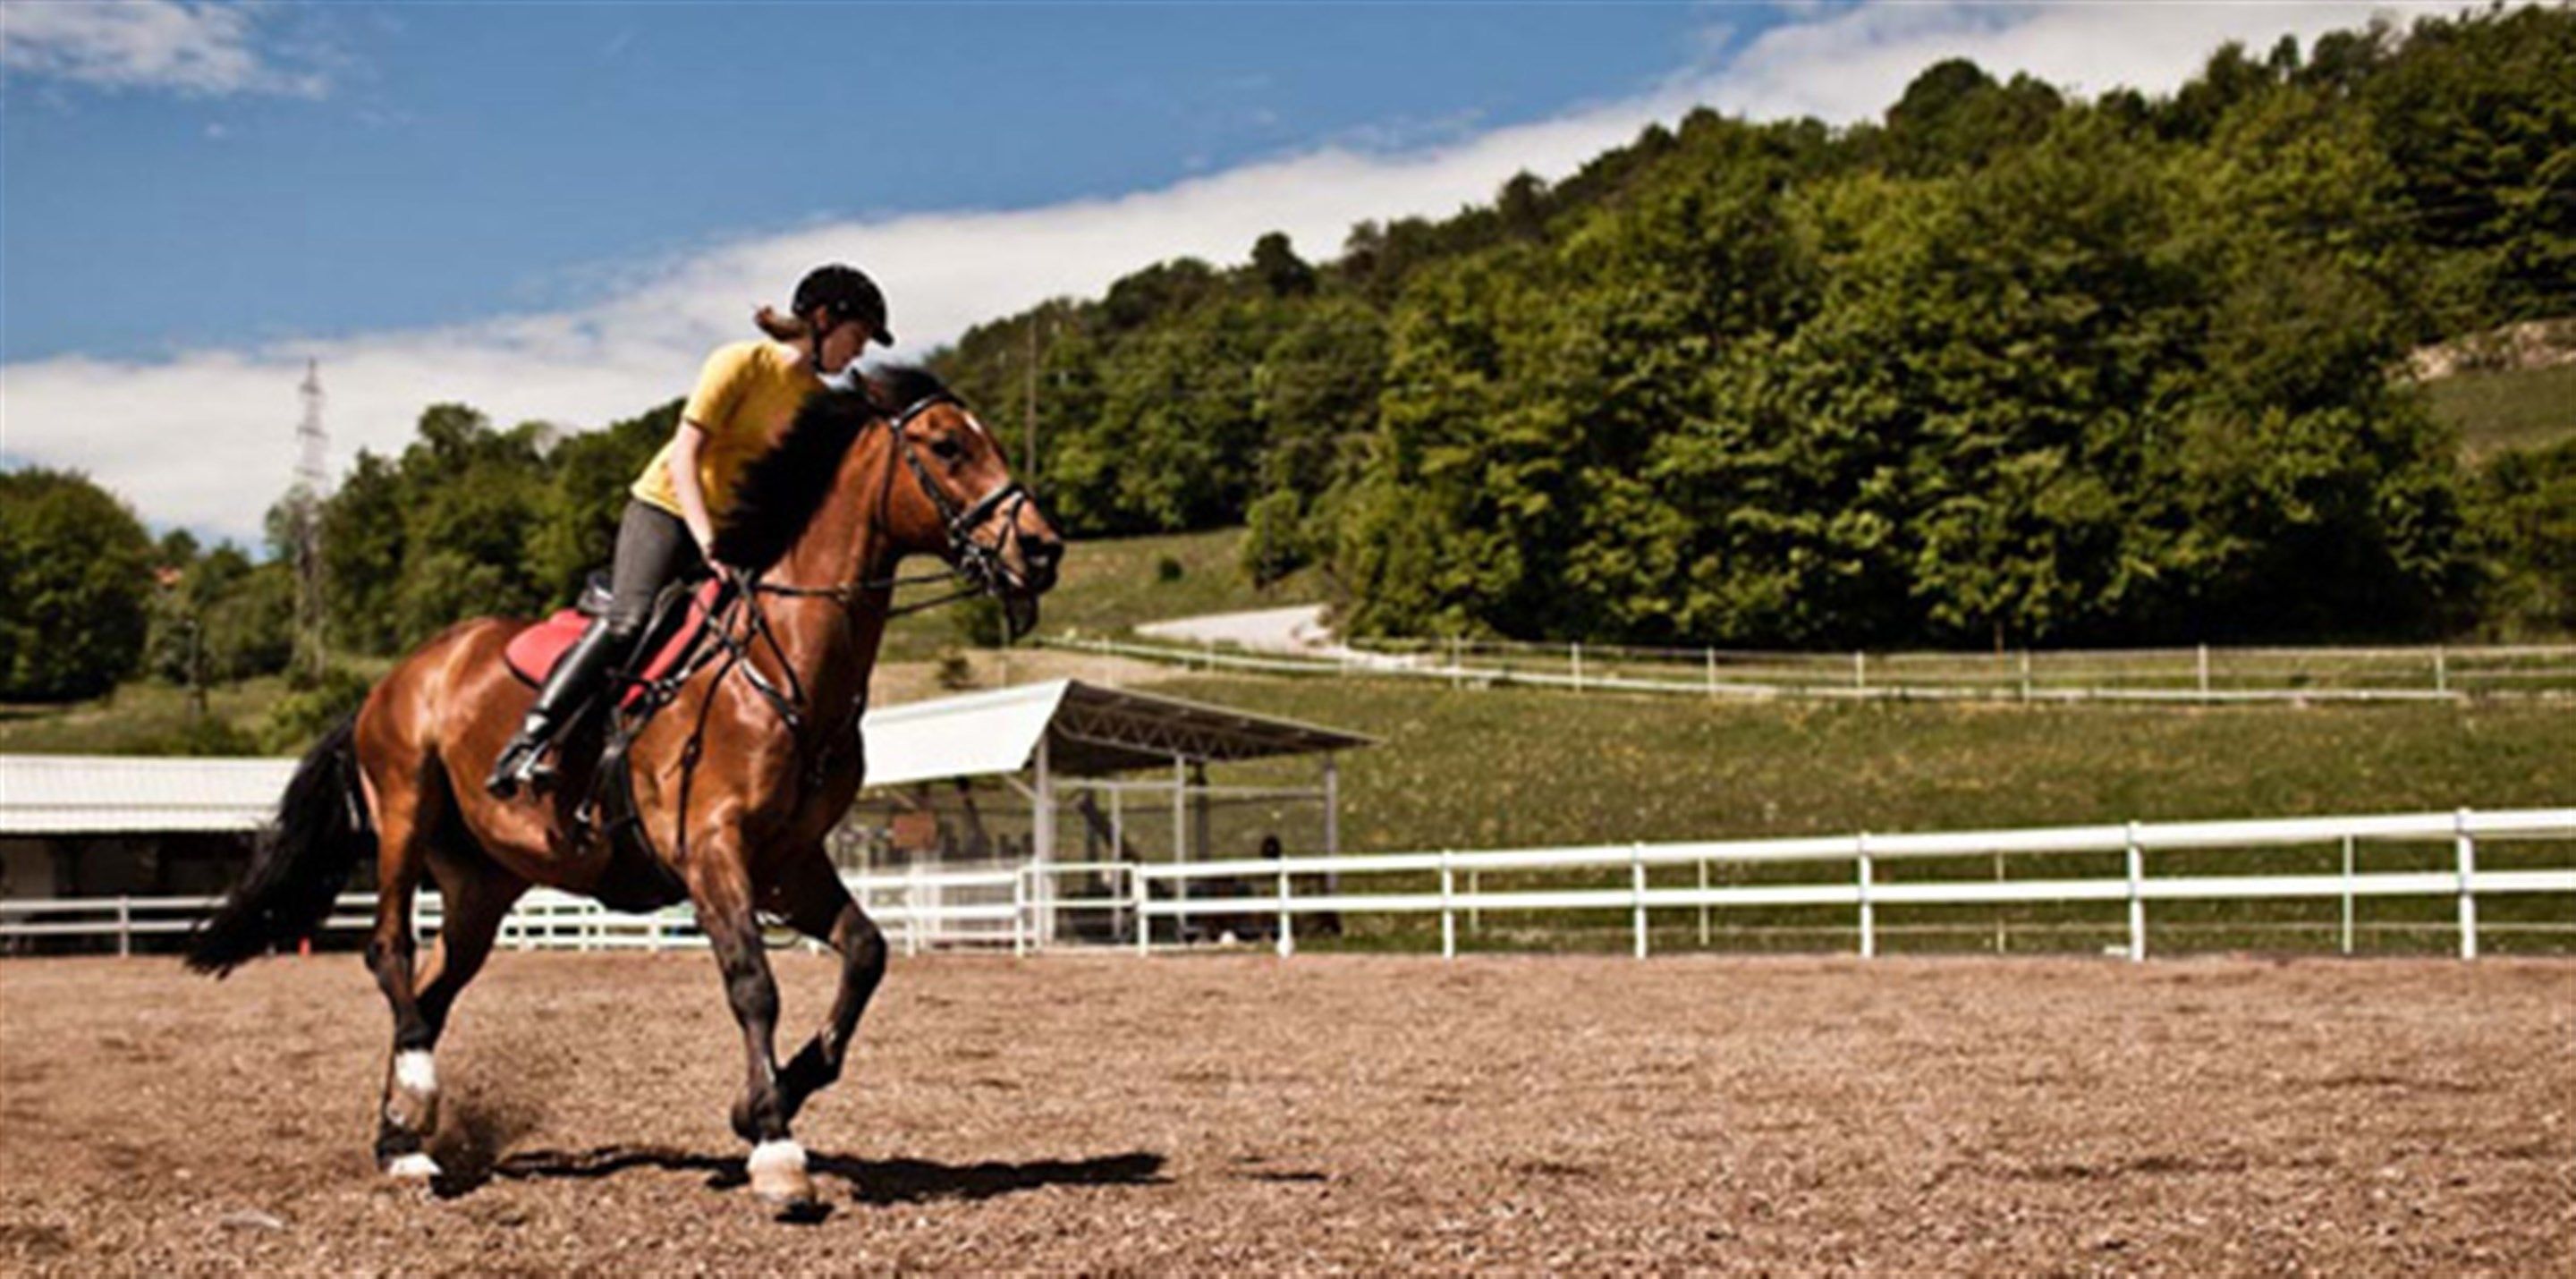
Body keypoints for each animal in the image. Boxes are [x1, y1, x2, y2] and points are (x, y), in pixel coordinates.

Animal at [184, 367, 1063, 1213]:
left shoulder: (790, 860)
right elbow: (753, 983)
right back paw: (418, 1097)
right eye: (947, 446)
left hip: (481, 885)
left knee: (431, 998)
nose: (1043, 548)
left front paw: (767, 1101)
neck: (780, 665)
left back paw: (402, 1139)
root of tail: (391, 680)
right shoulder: (711, 848)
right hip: (403, 811)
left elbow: (865, 954)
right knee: (388, 950)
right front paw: (775, 1148)